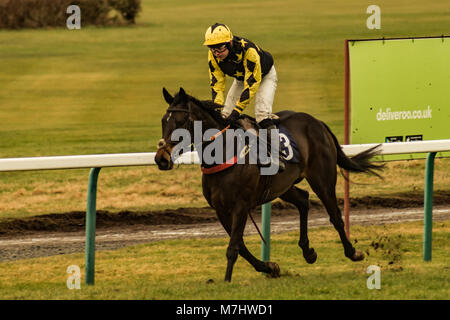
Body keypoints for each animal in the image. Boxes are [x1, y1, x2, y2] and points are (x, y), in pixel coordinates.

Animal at [155, 87, 384, 282]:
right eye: (163, 121)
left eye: (180, 121)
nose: (161, 159)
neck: (224, 154)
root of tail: (317, 122)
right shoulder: (220, 209)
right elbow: (241, 246)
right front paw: (270, 267)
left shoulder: (241, 206)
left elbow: (233, 247)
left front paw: (227, 281)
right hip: (283, 186)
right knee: (303, 200)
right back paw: (308, 251)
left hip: (322, 179)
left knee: (334, 215)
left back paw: (352, 252)